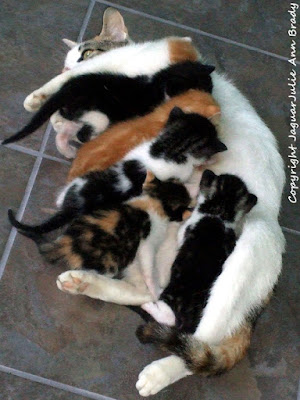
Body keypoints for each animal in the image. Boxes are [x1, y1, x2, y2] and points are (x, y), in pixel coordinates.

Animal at [137, 170, 256, 378]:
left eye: (213, 177)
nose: (207, 171)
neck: (220, 213)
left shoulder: (186, 230)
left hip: (170, 295)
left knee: (168, 316)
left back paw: (150, 304)